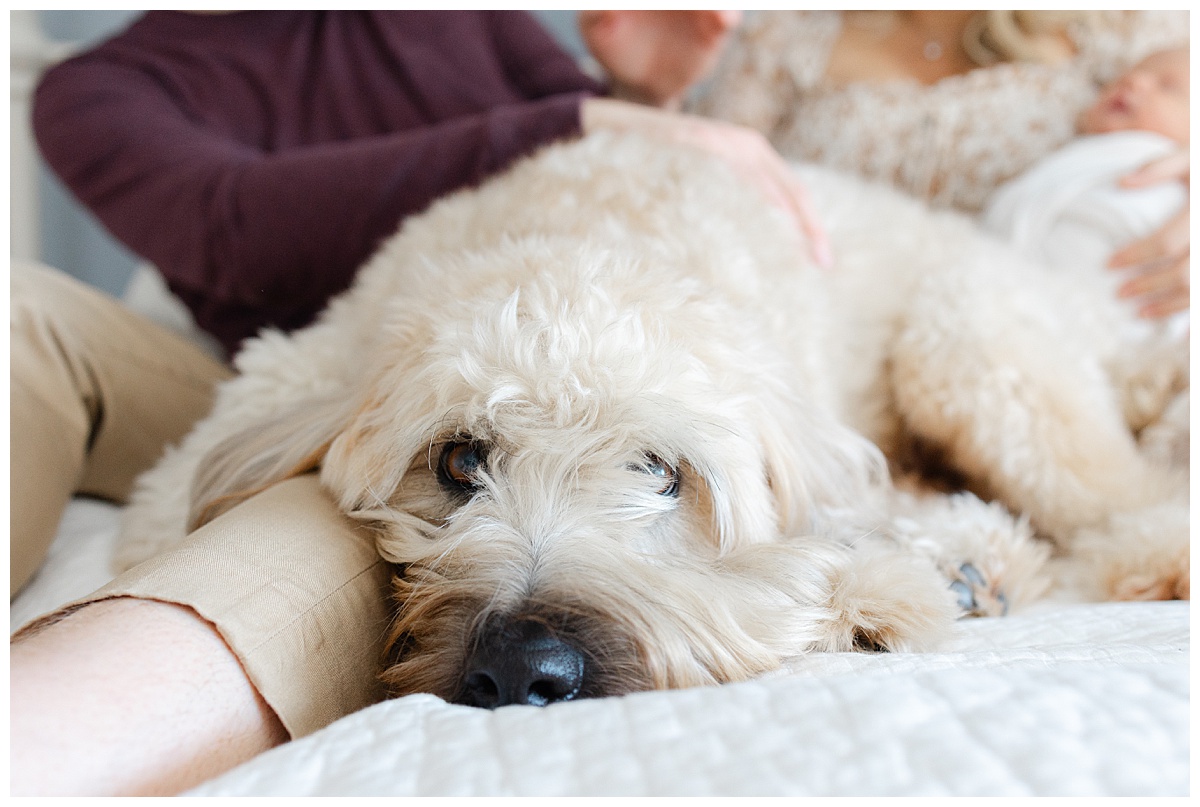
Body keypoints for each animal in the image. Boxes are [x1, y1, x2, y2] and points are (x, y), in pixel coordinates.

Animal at [117, 130, 1185, 706]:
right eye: (459, 461)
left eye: (661, 471)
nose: (523, 669)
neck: (588, 238)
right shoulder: (297, 366)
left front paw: (872, 591)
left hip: (967, 340)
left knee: (1115, 502)